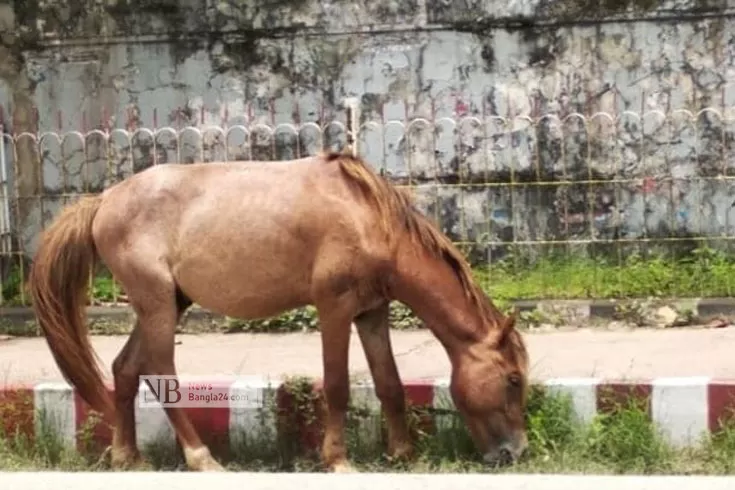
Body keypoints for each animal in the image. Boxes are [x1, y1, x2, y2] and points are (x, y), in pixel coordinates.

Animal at [27, 151, 528, 472]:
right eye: (513, 380)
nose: (514, 453)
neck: (368, 217)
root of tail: (103, 201)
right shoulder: (335, 308)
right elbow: (337, 386)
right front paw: (338, 460)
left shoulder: (371, 312)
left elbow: (390, 384)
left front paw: (402, 454)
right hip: (156, 304)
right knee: (160, 370)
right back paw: (201, 459)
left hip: (168, 302)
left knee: (125, 369)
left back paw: (126, 456)